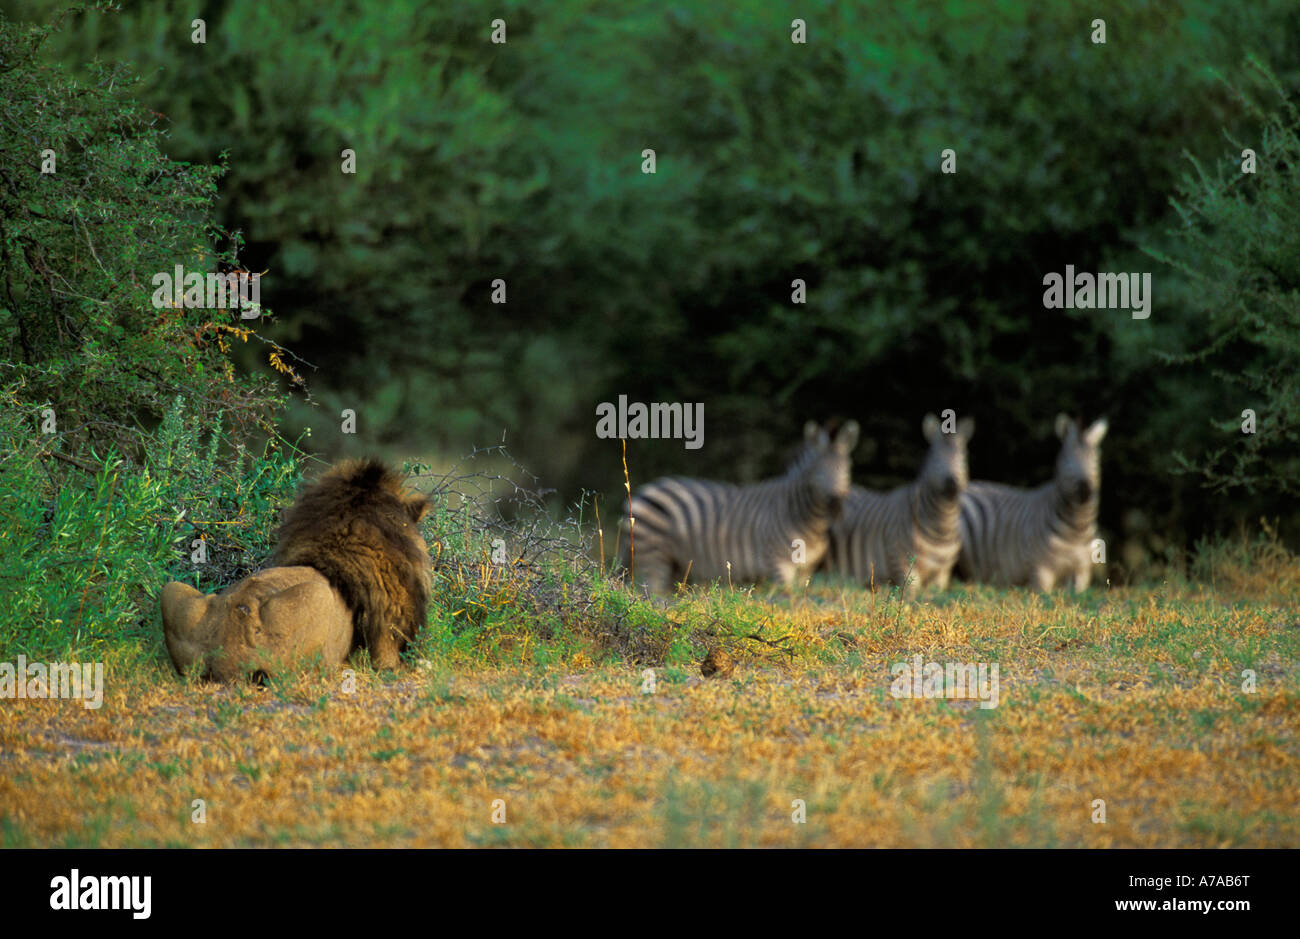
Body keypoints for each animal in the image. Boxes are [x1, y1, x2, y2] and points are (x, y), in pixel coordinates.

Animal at [619, 420, 860, 595]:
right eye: (817, 472)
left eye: (847, 468)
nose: (836, 505)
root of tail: (645, 489)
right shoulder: (779, 563)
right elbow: (787, 599)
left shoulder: (805, 569)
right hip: (653, 556)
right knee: (652, 594)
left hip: (674, 562)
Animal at [824, 413, 974, 597]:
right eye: (935, 457)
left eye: (963, 456)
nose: (952, 483)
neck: (941, 527)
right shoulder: (903, 565)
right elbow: (909, 596)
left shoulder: (942, 574)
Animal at [957, 414, 1108, 591]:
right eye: (1067, 461)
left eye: (1096, 461)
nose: (1085, 490)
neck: (1077, 529)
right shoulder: (1040, 569)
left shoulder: (1082, 571)